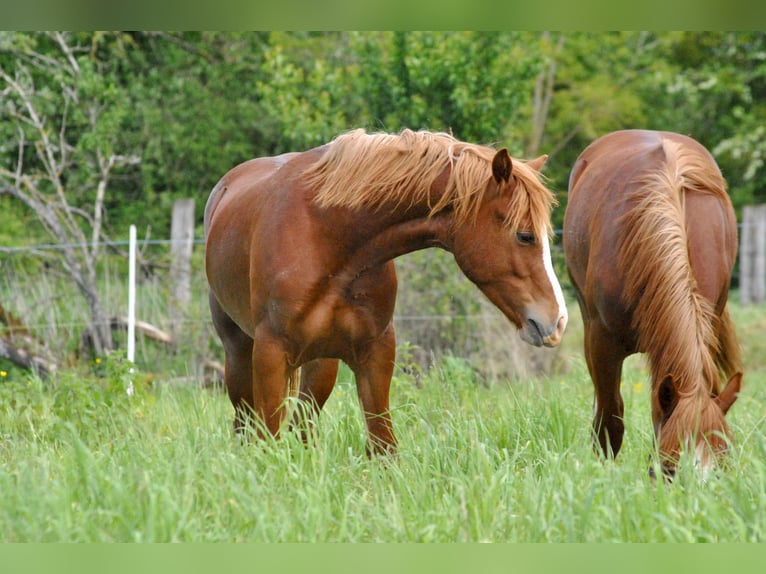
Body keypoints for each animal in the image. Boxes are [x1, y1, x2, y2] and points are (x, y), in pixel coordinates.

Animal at [206, 128, 568, 456]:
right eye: (524, 235)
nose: (558, 321)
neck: (329, 239)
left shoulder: (376, 353)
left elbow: (383, 447)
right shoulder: (270, 353)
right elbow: (267, 441)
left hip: (321, 364)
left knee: (302, 428)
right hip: (240, 356)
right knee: (246, 424)